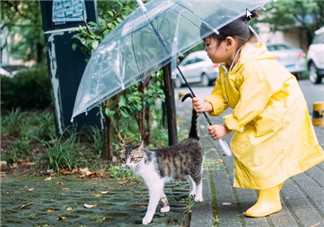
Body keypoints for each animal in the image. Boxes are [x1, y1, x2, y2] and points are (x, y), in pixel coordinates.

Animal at [120, 93, 204, 225]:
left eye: (133, 158)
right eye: (124, 159)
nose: (127, 165)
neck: (142, 164)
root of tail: (192, 138)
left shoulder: (154, 183)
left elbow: (151, 205)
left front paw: (147, 218)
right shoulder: (156, 183)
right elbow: (162, 195)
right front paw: (167, 207)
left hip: (196, 168)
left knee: (199, 181)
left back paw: (199, 196)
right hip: (184, 169)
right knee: (191, 180)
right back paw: (192, 192)